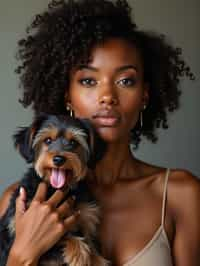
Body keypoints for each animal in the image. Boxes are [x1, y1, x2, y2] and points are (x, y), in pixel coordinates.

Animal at [0, 114, 108, 266]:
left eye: (73, 142)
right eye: (48, 140)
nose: (58, 159)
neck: (56, 189)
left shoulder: (87, 217)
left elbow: (91, 245)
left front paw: (94, 257)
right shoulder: (17, 228)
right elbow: (61, 236)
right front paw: (80, 254)